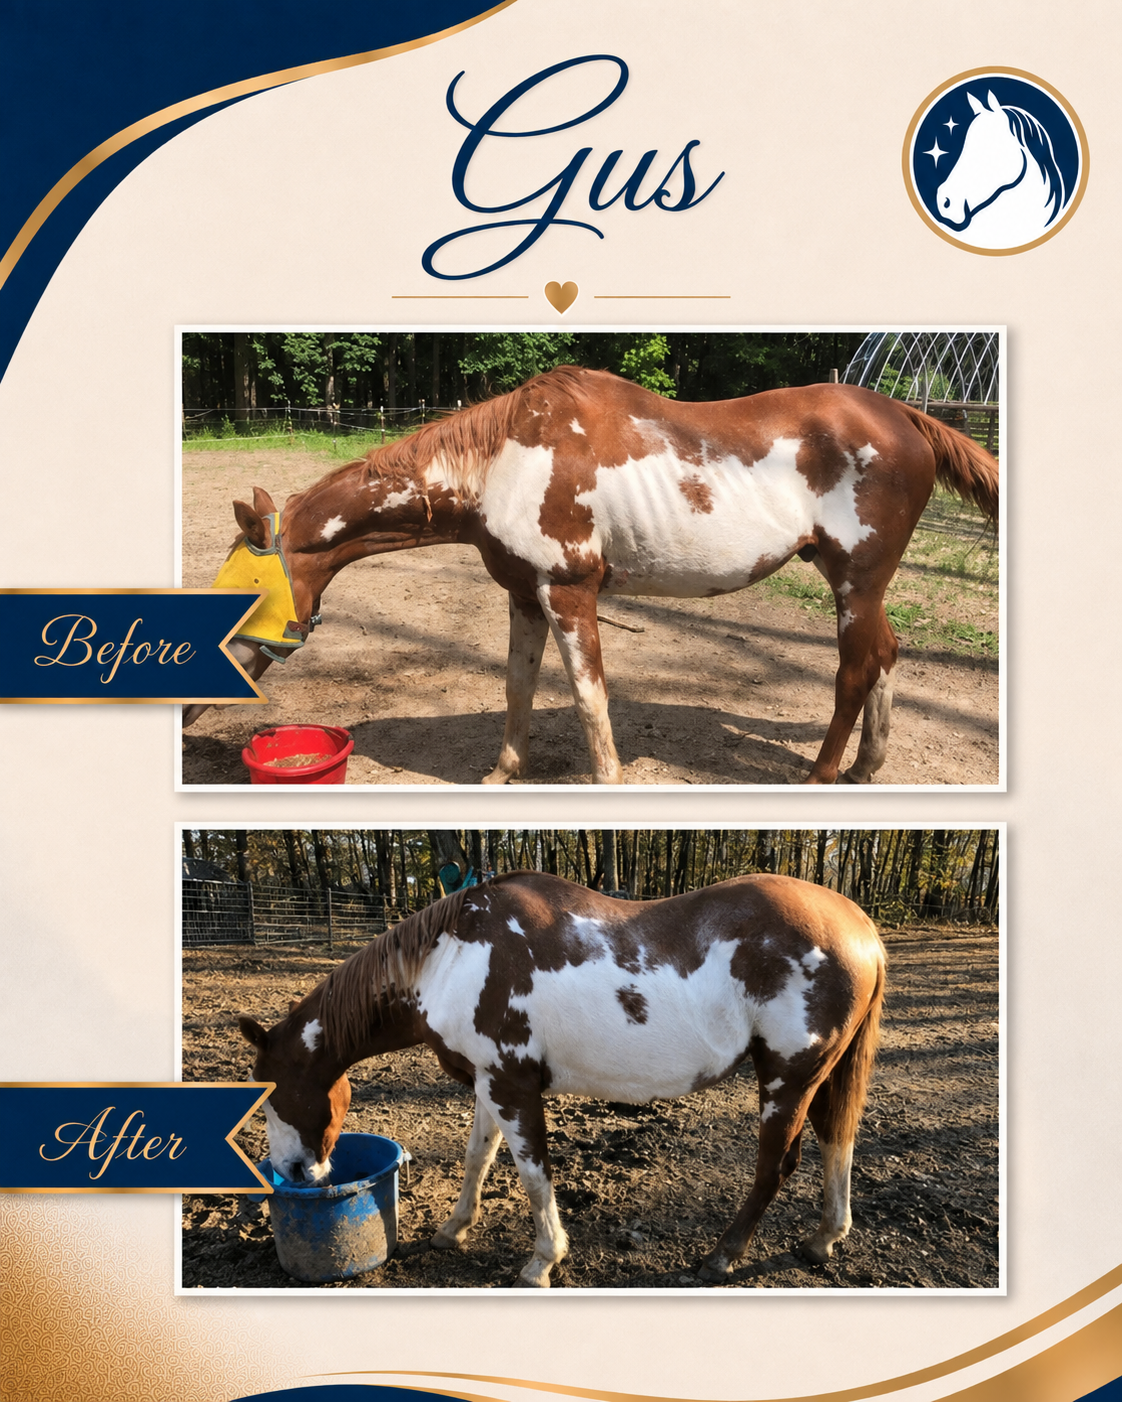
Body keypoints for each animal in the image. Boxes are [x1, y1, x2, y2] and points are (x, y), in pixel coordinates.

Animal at [186, 367, 999, 784]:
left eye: (243, 595)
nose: (190, 706)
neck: (502, 463)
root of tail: (905, 415)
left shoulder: (570, 592)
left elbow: (587, 698)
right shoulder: (523, 594)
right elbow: (517, 689)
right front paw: (503, 773)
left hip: (854, 581)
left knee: (857, 668)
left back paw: (824, 776)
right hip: (864, 586)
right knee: (885, 656)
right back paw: (865, 768)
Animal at [238, 870, 887, 1287]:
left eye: (271, 1095)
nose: (295, 1173)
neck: (453, 957)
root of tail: (861, 929)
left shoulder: (512, 1085)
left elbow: (532, 1174)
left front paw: (542, 1261)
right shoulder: (488, 1082)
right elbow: (478, 1157)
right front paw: (454, 1229)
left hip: (787, 1078)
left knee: (776, 1166)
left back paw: (721, 1257)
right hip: (819, 1076)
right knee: (837, 1140)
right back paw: (824, 1238)